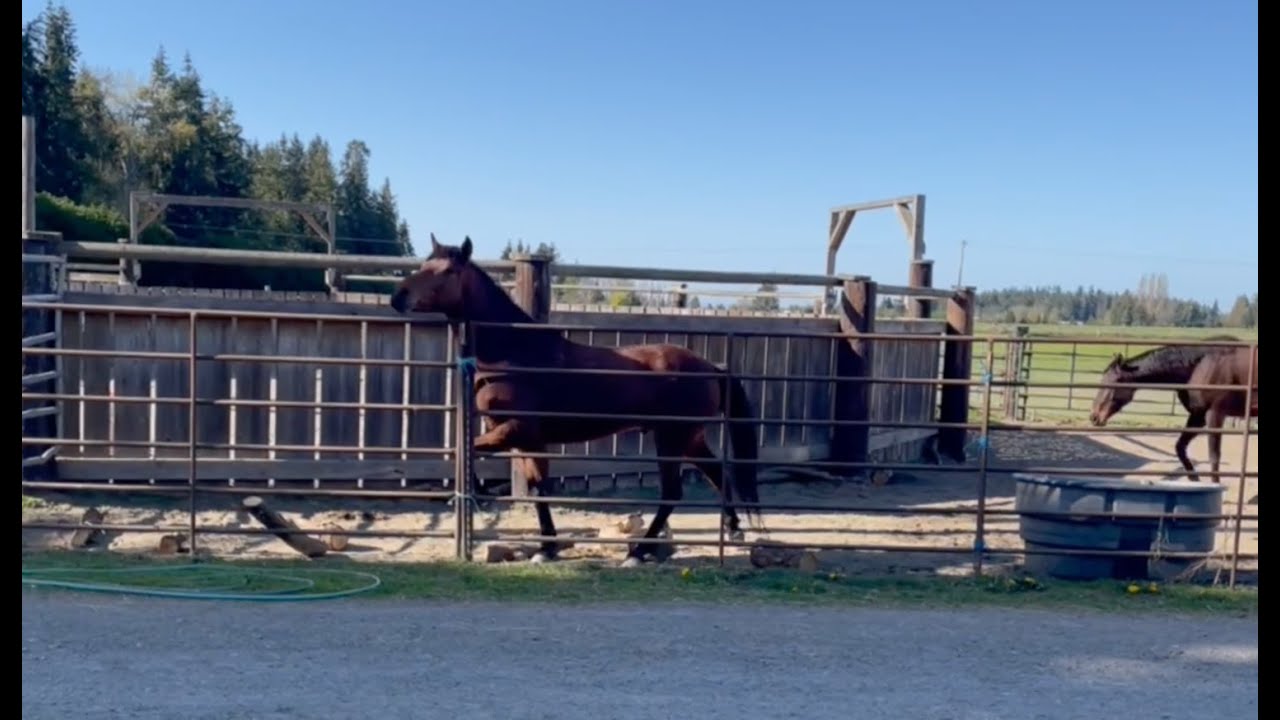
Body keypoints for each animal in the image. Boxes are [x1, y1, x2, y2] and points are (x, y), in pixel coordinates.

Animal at [389, 235, 763, 567]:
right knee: (717, 473)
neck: (515, 352)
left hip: (671, 439)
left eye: (448, 271)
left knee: (672, 493)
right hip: (689, 438)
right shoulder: (528, 441)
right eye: (424, 264)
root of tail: (711, 367)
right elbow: (538, 490)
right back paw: (733, 530)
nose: (397, 297)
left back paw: (637, 553)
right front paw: (546, 548)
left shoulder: (515, 431)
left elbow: (470, 453)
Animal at [1089, 336, 1255, 482]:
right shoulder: (1198, 415)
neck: (1201, 364)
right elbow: (1180, 447)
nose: (1094, 417)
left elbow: (1214, 456)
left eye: (1111, 383)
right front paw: (1194, 478)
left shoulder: (1215, 415)